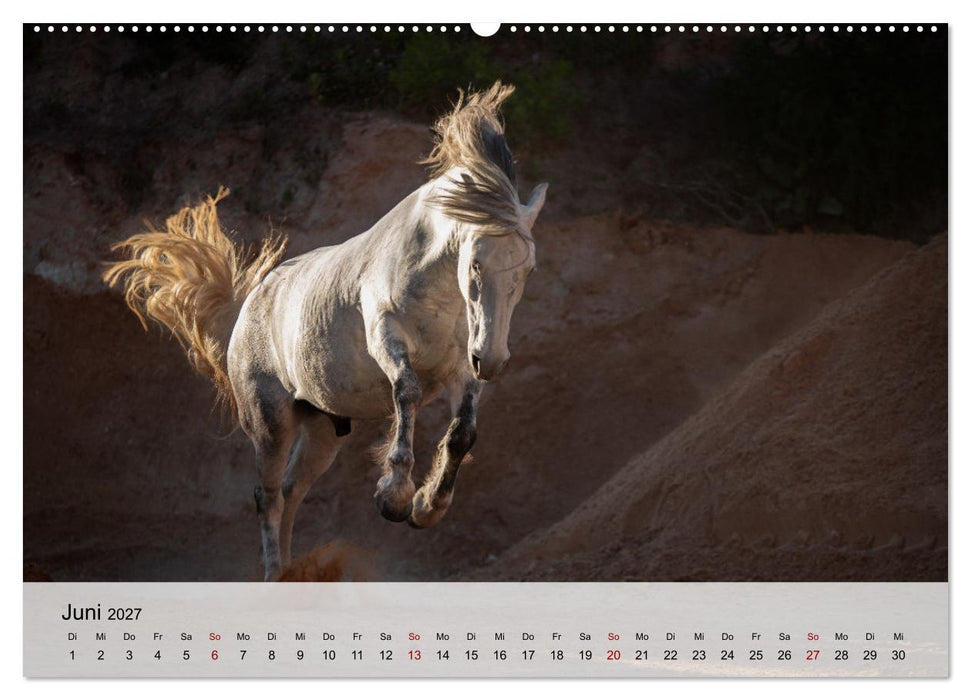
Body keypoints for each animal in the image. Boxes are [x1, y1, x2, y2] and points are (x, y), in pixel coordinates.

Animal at [103, 82, 547, 581]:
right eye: (474, 264)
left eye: (528, 269)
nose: (492, 359)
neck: (437, 292)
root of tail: (248, 306)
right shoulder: (386, 338)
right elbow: (408, 392)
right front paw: (393, 496)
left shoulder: (460, 371)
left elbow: (462, 434)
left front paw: (426, 507)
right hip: (270, 422)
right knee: (267, 495)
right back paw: (274, 573)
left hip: (321, 429)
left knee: (292, 490)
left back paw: (292, 572)